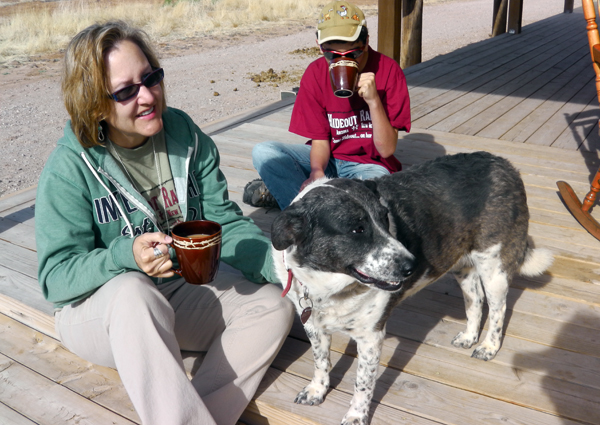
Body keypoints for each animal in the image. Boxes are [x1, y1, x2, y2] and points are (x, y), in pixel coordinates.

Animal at [272, 152, 552, 424]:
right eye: (357, 229)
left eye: (385, 219)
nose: (412, 265)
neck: (327, 287)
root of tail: (503, 163)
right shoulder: (313, 326)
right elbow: (320, 361)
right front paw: (317, 390)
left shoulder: (370, 336)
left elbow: (362, 383)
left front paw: (356, 416)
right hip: (463, 267)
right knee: (475, 301)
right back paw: (470, 337)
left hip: (494, 267)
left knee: (498, 309)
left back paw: (489, 346)